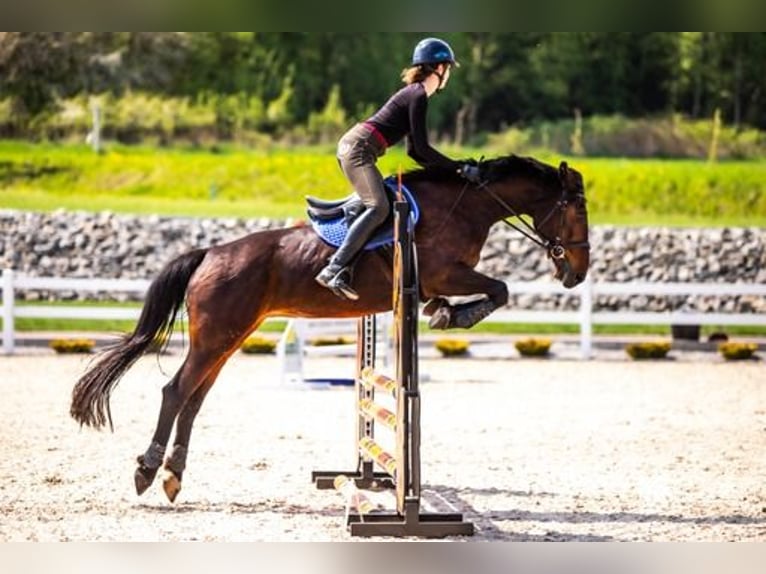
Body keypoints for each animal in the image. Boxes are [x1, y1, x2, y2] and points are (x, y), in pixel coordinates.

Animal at [69, 154, 592, 504]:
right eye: (577, 212)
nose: (578, 273)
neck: (464, 205)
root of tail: (210, 254)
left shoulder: (434, 281)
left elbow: (483, 293)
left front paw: (444, 313)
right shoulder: (446, 272)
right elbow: (500, 289)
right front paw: (456, 316)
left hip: (228, 338)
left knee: (194, 399)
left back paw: (174, 474)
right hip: (218, 337)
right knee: (176, 391)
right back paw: (148, 469)